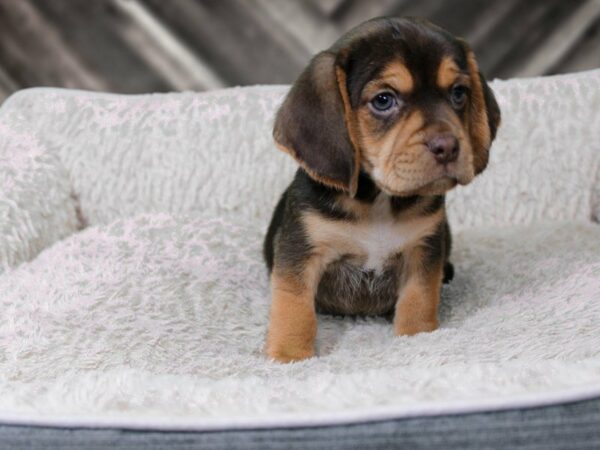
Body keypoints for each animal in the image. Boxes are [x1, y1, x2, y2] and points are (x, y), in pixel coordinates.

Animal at [262, 15, 502, 364]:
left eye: (458, 93)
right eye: (383, 100)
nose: (448, 147)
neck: (378, 201)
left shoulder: (423, 248)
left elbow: (419, 298)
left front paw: (417, 338)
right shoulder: (302, 250)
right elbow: (294, 306)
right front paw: (289, 356)